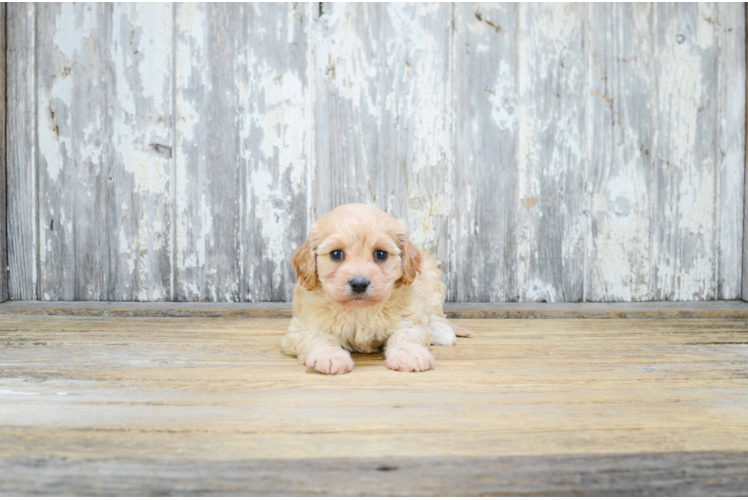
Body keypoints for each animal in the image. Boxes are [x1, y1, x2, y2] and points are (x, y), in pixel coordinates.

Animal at [280, 204, 468, 376]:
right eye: (336, 254)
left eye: (380, 254)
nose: (359, 284)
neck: (359, 310)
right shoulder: (302, 326)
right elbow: (318, 337)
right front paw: (330, 356)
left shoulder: (409, 315)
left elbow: (406, 334)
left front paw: (409, 354)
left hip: (430, 281)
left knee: (435, 314)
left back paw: (440, 331)